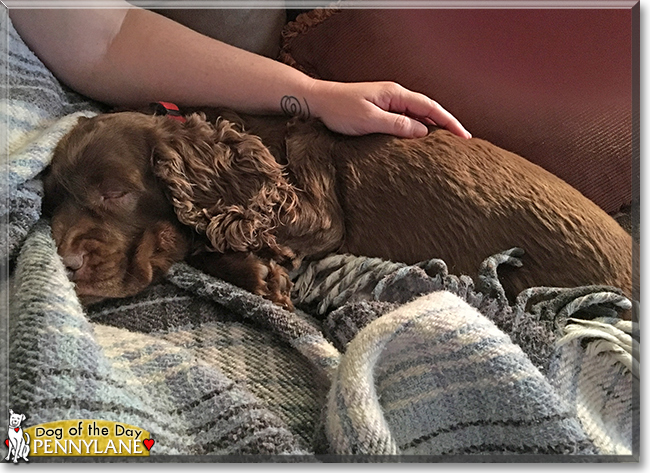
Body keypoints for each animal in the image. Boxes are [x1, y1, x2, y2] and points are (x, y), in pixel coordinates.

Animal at [43, 108, 632, 312]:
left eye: (115, 192)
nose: (63, 264)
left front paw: (254, 270)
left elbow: (211, 237)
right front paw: (256, 273)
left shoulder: (317, 215)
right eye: (51, 200)